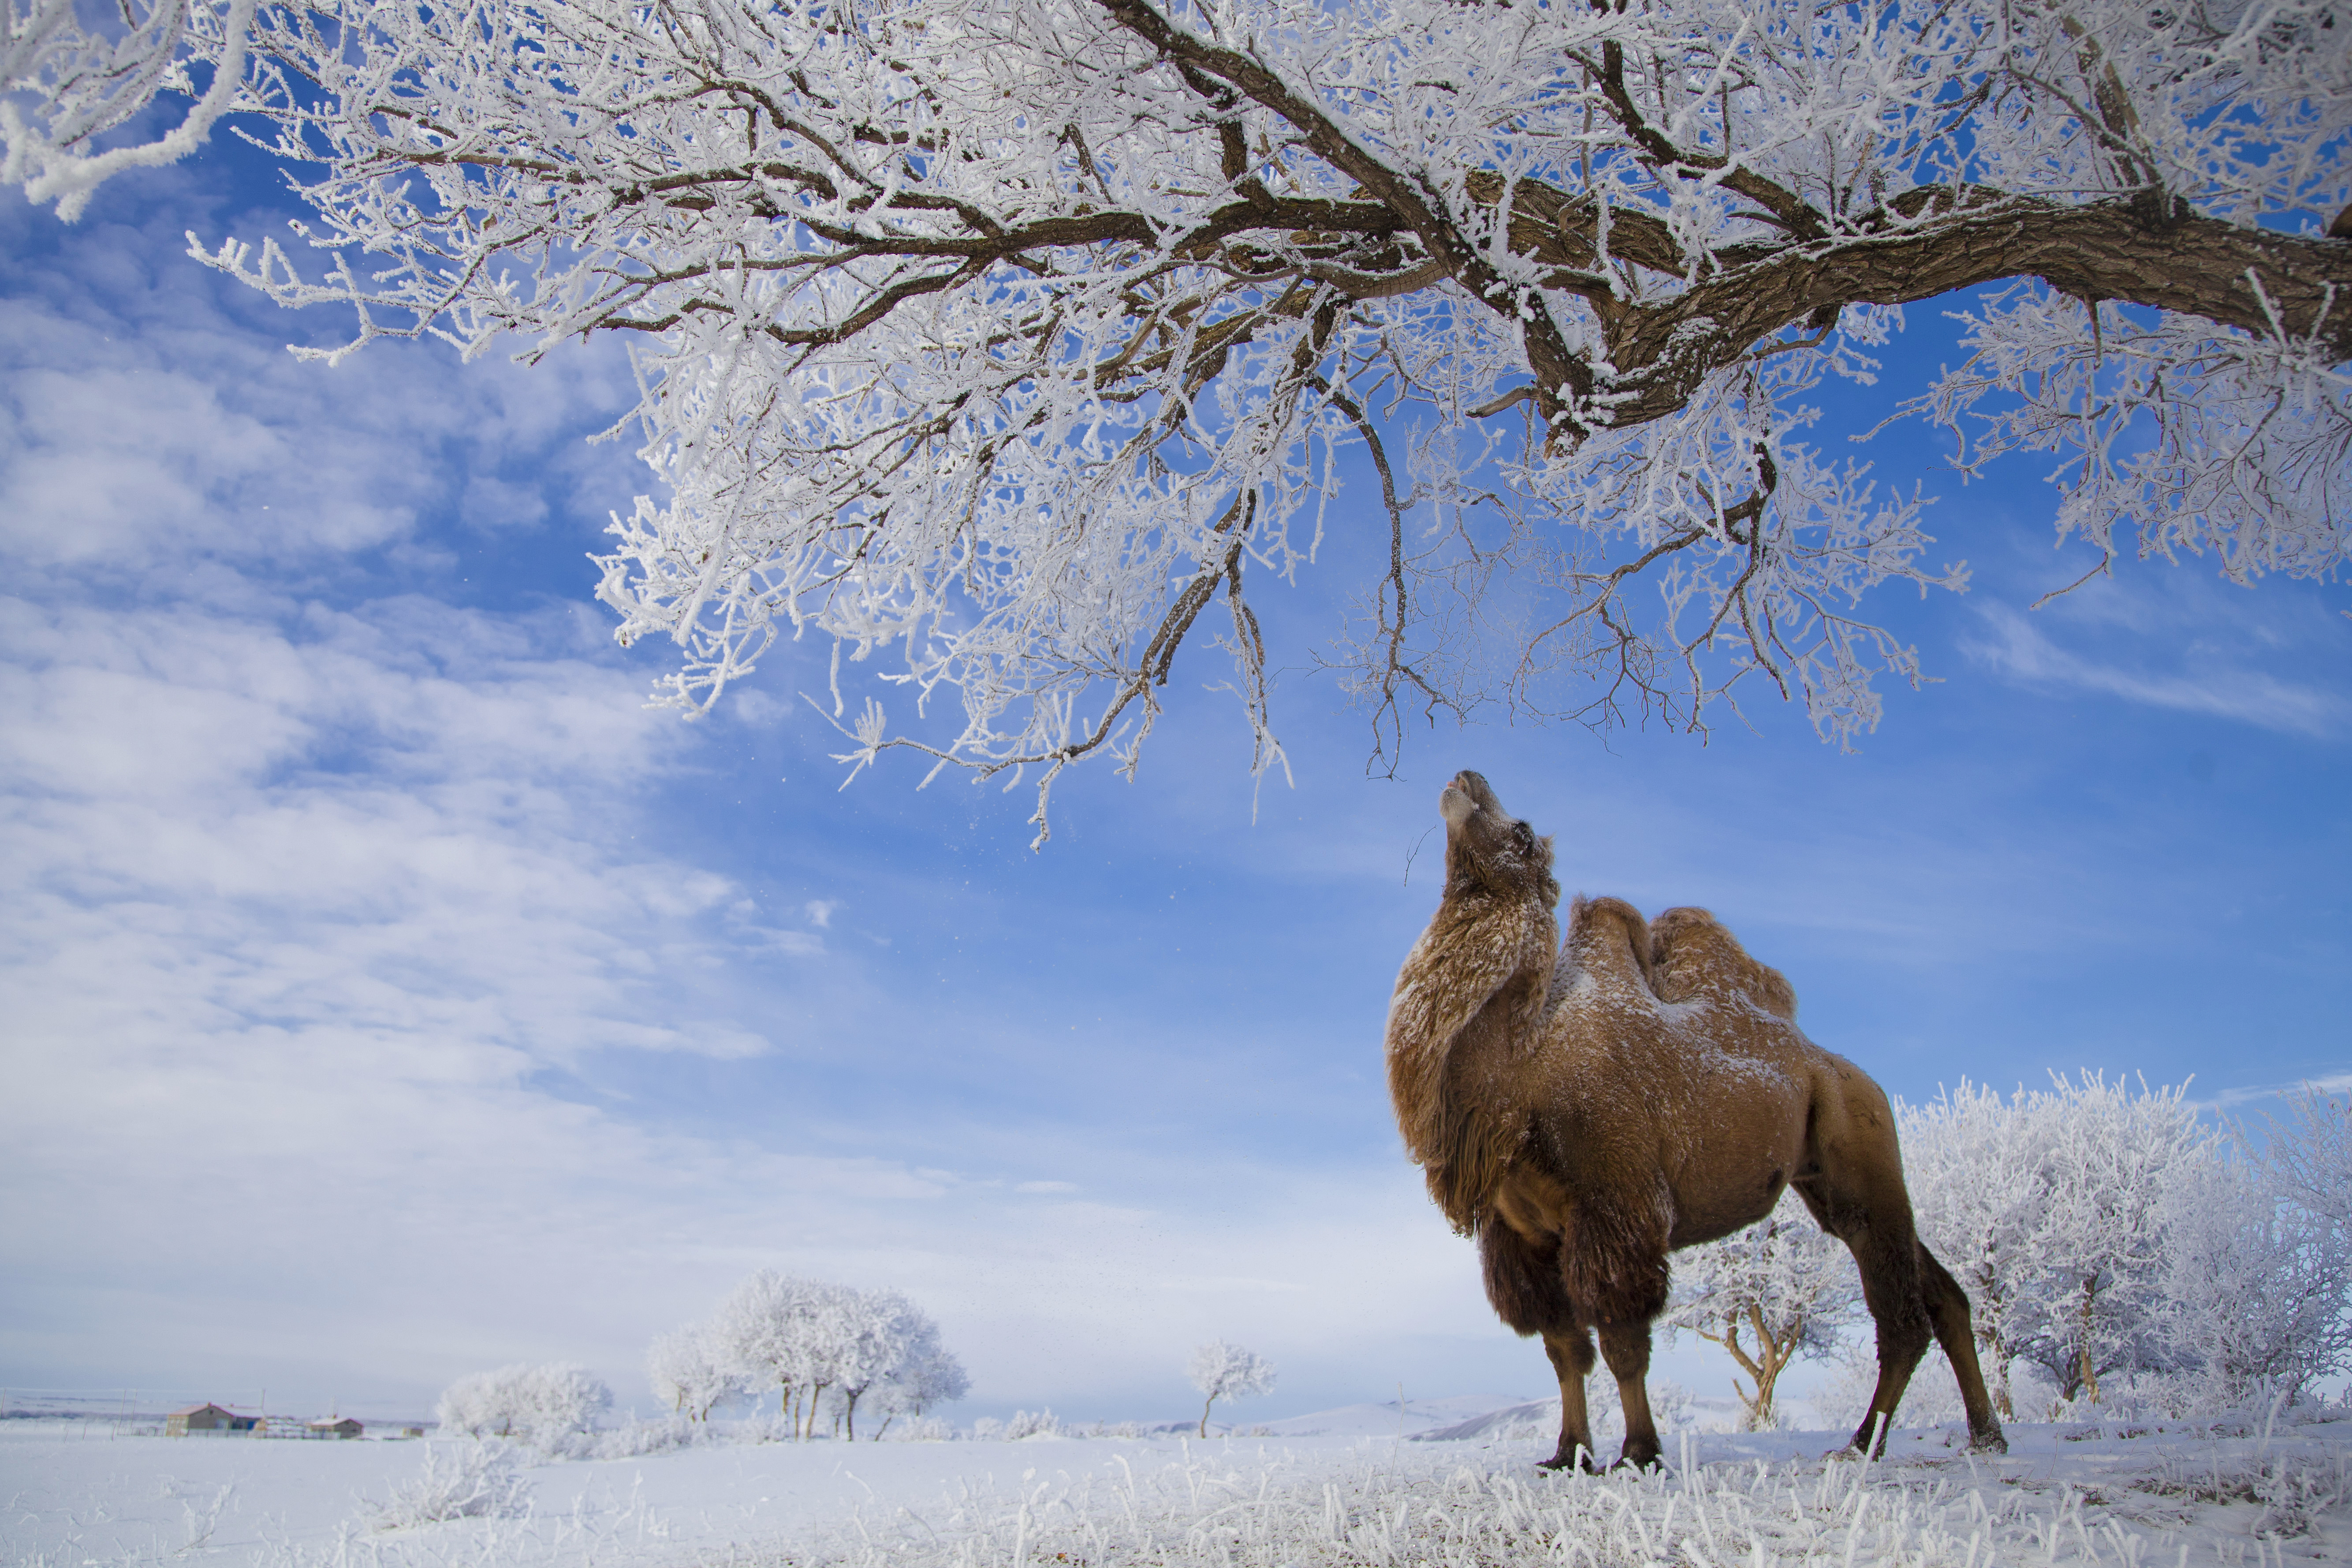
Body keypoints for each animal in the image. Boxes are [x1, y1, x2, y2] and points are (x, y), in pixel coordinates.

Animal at [1383, 771, 2013, 1476]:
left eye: (1520, 831)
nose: (1465, 778)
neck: (1522, 1075)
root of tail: (1852, 1076)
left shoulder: (1617, 1208)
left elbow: (1622, 1341)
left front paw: (1637, 1453)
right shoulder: (1523, 1238)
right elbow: (1564, 1349)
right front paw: (1569, 1454)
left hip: (1863, 1155)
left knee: (1900, 1311)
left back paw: (1857, 1446)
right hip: (1829, 1181)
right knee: (1942, 1295)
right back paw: (1985, 1436)